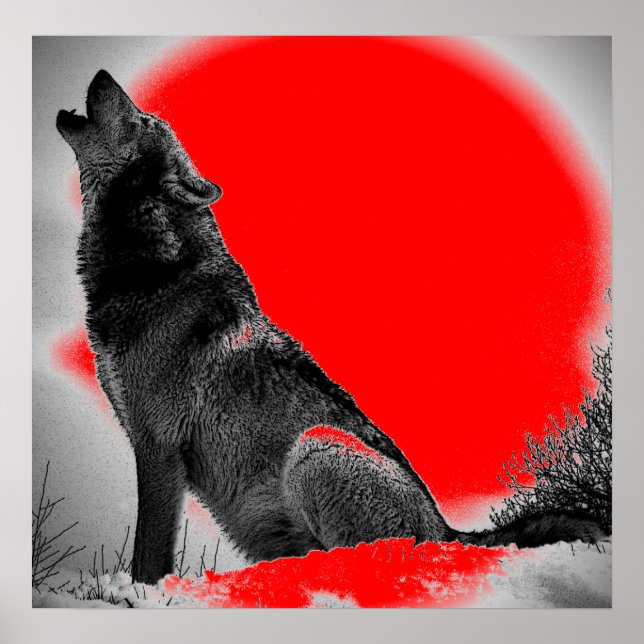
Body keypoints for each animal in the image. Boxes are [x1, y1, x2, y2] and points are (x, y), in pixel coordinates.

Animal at [56, 70, 604, 584]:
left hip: (315, 446)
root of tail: (448, 532)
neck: (154, 268)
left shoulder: (158, 448)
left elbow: (147, 558)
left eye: (142, 120)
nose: (103, 75)